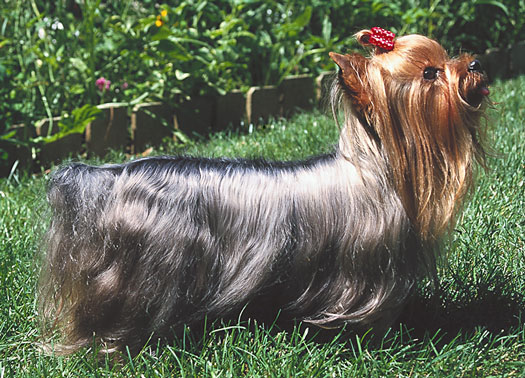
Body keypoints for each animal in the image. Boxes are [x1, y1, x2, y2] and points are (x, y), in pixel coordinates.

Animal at [37, 28, 488, 354]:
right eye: (429, 73)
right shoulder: (364, 269)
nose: (476, 62)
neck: (377, 164)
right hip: (141, 271)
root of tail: (112, 174)